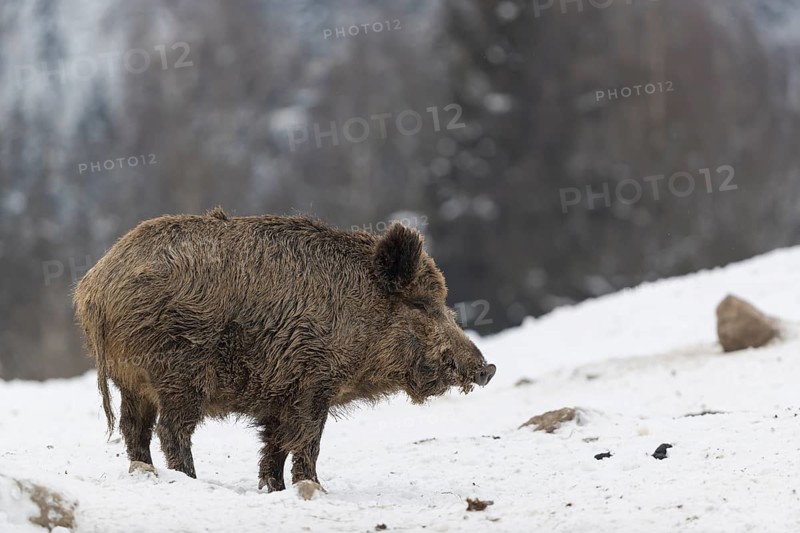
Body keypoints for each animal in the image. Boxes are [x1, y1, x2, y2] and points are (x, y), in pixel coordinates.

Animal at [73, 207, 495, 491]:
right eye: (421, 304)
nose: (487, 369)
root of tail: (95, 287)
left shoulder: (280, 395)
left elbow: (274, 446)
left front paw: (273, 489)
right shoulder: (314, 384)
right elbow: (308, 442)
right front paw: (316, 489)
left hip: (133, 383)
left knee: (134, 429)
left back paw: (146, 474)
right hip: (179, 375)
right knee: (170, 430)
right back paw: (190, 478)